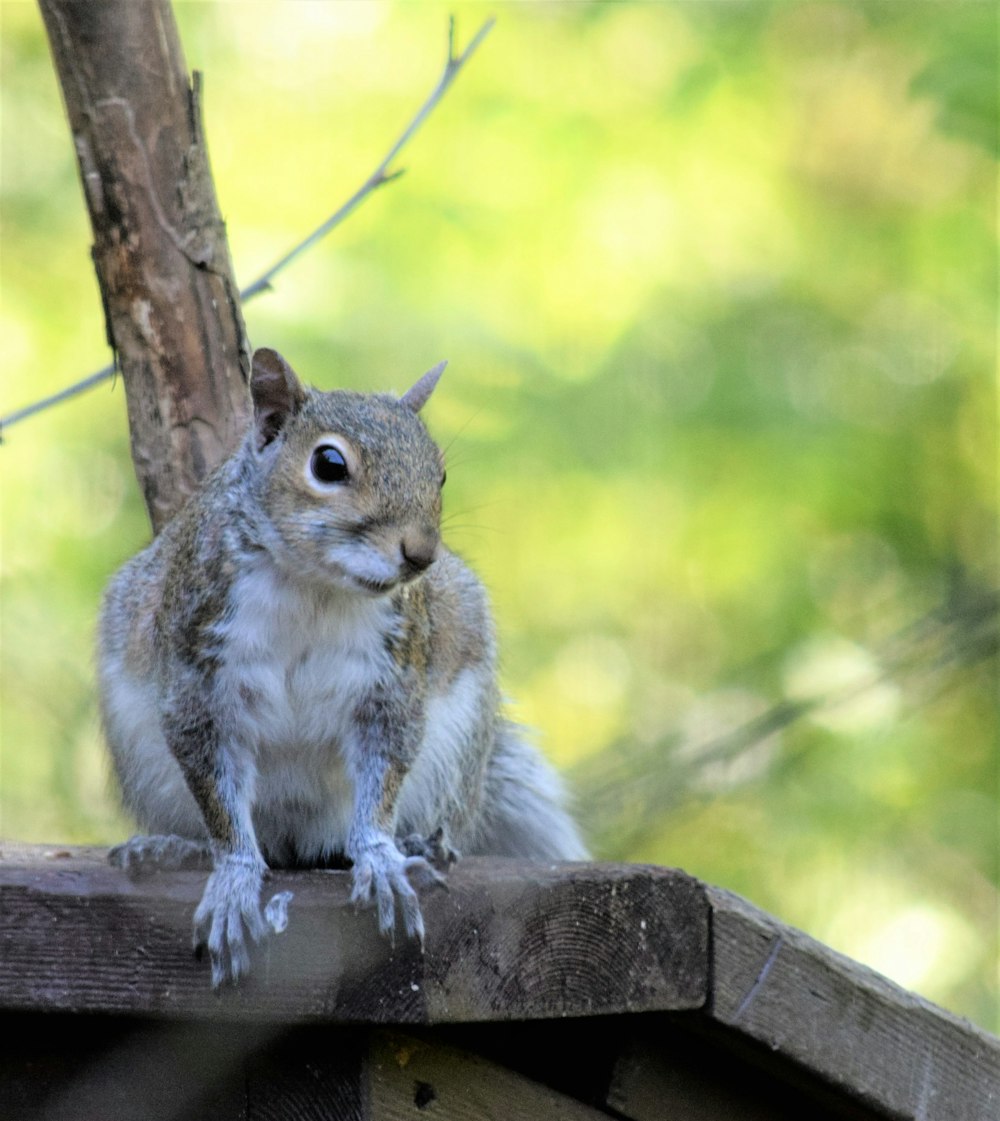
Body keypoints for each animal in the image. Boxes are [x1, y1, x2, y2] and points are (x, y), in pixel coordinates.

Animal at [97, 345, 587, 986]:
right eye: (328, 464)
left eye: (440, 473)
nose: (421, 554)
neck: (317, 587)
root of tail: (300, 843)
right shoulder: (196, 677)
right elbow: (219, 794)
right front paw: (232, 878)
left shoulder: (392, 683)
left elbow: (382, 776)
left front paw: (380, 858)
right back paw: (175, 848)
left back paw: (418, 844)